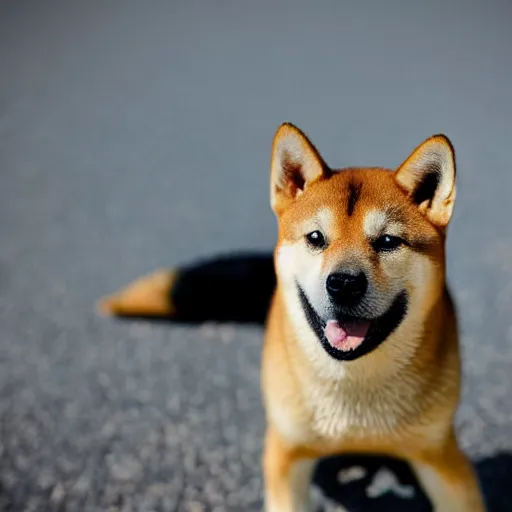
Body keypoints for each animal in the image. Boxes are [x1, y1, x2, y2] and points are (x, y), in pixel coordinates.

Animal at [99, 125, 484, 512]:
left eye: (388, 241)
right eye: (316, 238)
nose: (344, 284)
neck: (353, 389)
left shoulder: (442, 458)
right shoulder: (286, 453)